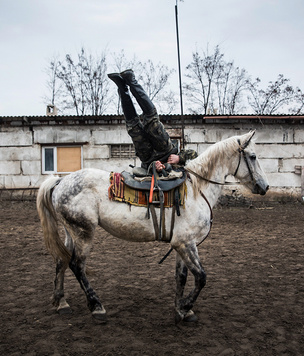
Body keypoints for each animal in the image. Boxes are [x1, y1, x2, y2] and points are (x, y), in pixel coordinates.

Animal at [37, 131, 268, 322]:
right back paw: (96, 307)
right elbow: (201, 277)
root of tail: (61, 182)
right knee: (77, 265)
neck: (197, 190)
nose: (265, 187)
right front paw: (186, 306)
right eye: (253, 156)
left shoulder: (182, 244)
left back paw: (61, 303)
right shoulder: (186, 244)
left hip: (71, 232)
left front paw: (181, 309)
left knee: (61, 261)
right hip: (83, 232)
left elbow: (182, 276)